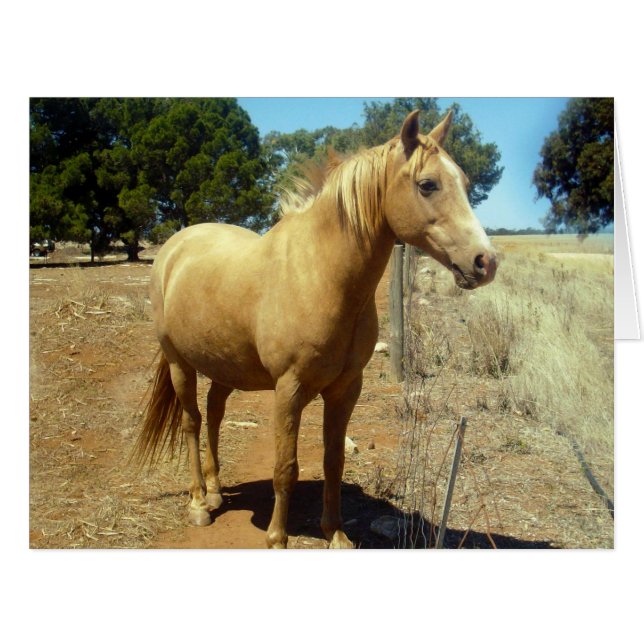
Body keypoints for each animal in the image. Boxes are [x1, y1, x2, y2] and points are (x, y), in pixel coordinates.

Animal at [133, 110, 498, 548]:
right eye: (428, 184)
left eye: (465, 182)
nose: (485, 262)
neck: (320, 274)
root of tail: (173, 248)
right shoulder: (289, 389)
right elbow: (285, 467)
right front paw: (277, 538)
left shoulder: (345, 388)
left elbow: (333, 460)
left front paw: (335, 533)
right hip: (179, 363)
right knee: (192, 421)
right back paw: (200, 503)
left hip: (225, 366)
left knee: (215, 412)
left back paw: (217, 490)